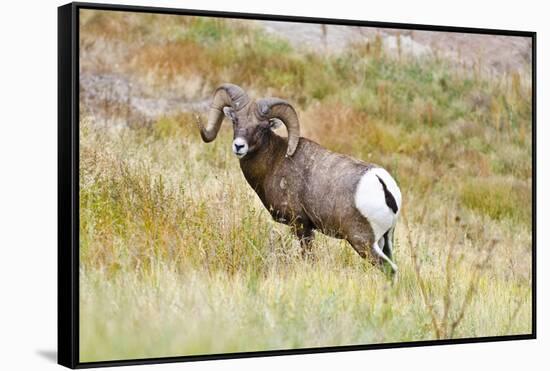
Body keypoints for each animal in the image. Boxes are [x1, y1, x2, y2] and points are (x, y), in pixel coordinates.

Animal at [196, 85, 404, 274]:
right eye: (235, 120)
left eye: (262, 127)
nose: (239, 146)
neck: (274, 161)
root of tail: (383, 185)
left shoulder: (301, 226)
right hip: (386, 240)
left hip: (362, 242)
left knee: (390, 269)